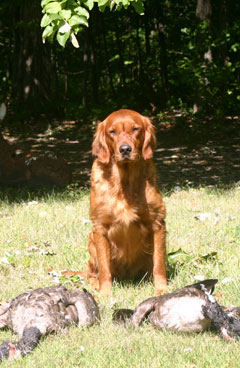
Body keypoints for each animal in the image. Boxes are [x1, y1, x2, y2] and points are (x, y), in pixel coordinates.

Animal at [86, 109, 167, 296]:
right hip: (91, 239)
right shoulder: (99, 228)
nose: (125, 149)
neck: (125, 184)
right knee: (90, 272)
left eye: (135, 129)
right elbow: (104, 268)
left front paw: (162, 289)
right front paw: (105, 293)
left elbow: (159, 264)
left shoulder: (158, 223)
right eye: (112, 132)